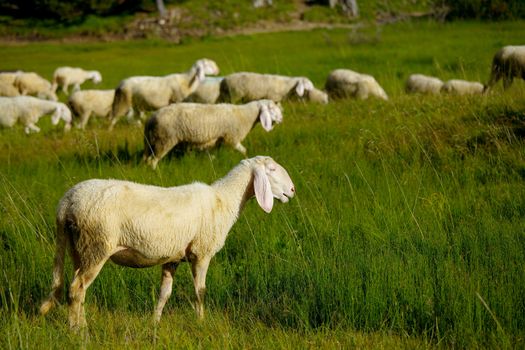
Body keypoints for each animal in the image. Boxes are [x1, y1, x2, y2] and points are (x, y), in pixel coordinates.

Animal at [40, 156, 294, 328]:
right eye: (271, 169)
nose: (292, 190)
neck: (225, 199)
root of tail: (66, 203)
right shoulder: (201, 253)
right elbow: (200, 291)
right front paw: (201, 323)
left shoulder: (173, 257)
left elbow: (164, 294)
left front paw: (154, 323)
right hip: (97, 244)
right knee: (76, 288)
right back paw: (78, 331)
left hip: (78, 247)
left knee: (78, 288)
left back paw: (80, 323)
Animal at [143, 100, 282, 170]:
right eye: (271, 109)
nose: (281, 120)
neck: (246, 116)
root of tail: (151, 118)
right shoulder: (232, 138)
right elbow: (244, 150)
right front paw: (248, 159)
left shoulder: (218, 141)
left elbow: (213, 154)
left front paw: (213, 161)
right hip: (164, 139)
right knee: (152, 160)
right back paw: (155, 172)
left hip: (152, 140)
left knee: (147, 158)